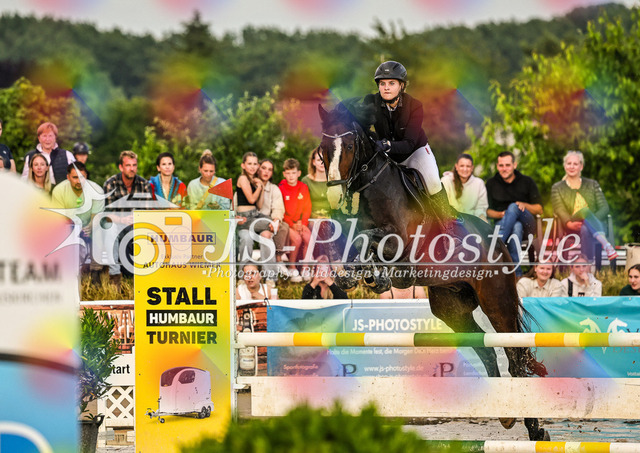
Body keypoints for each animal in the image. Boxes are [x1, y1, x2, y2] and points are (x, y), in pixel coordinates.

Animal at [316, 100, 550, 441]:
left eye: (347, 146)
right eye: (322, 151)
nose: (335, 197)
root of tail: (497, 241)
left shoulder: (402, 245)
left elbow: (371, 239)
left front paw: (375, 274)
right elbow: (354, 245)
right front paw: (353, 275)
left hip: (497, 300)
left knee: (514, 356)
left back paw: (536, 430)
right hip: (450, 305)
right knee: (486, 349)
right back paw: (506, 416)